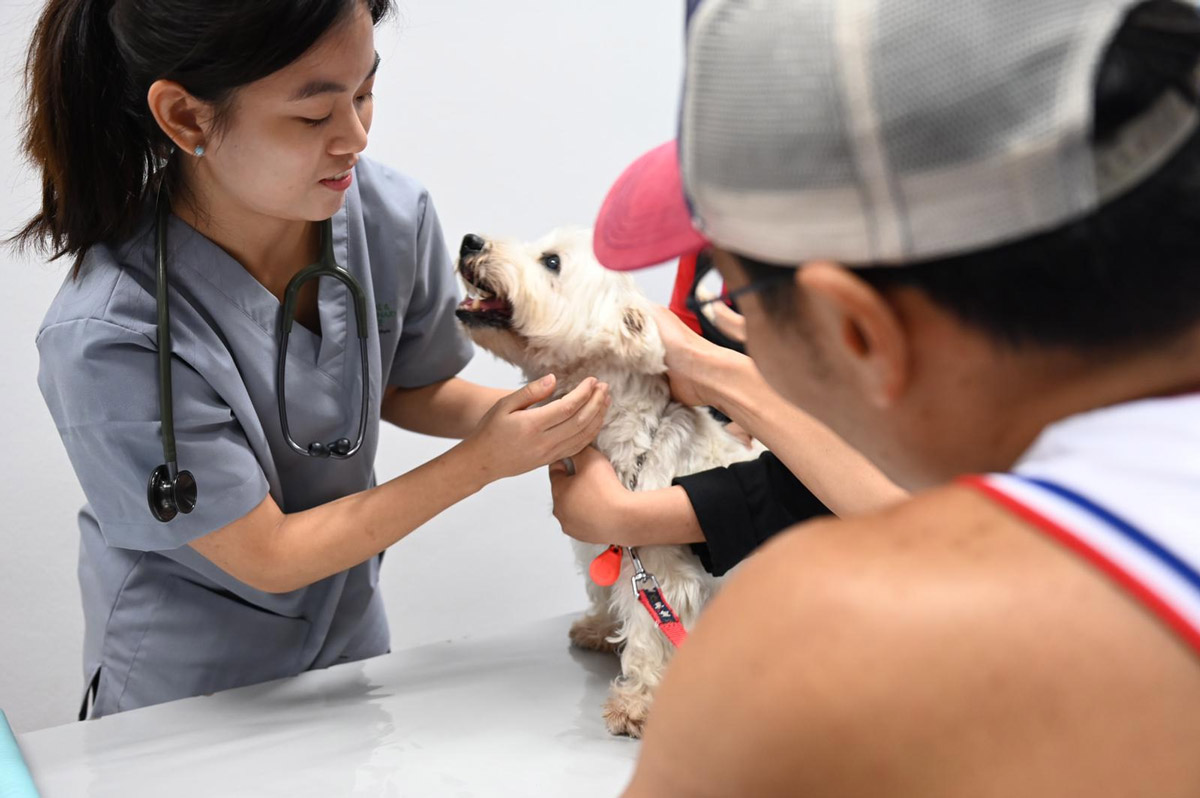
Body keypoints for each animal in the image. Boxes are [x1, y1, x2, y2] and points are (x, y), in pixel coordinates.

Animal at [453, 229, 753, 734]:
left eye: (551, 261)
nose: (470, 241)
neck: (624, 439)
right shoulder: (601, 541)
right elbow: (602, 587)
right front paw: (597, 626)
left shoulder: (658, 567)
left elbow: (651, 632)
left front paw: (637, 702)